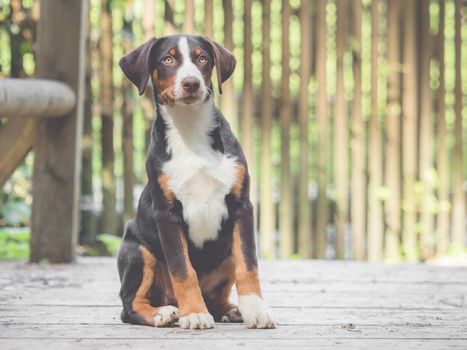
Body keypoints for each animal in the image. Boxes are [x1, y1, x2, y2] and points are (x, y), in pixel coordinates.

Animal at [118, 34, 278, 330]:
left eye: (202, 58)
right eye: (167, 59)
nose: (191, 83)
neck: (190, 129)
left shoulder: (242, 206)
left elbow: (248, 264)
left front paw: (256, 309)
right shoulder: (166, 214)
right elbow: (183, 269)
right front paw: (193, 313)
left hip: (225, 252)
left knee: (218, 295)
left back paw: (231, 310)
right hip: (138, 250)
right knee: (129, 304)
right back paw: (163, 313)